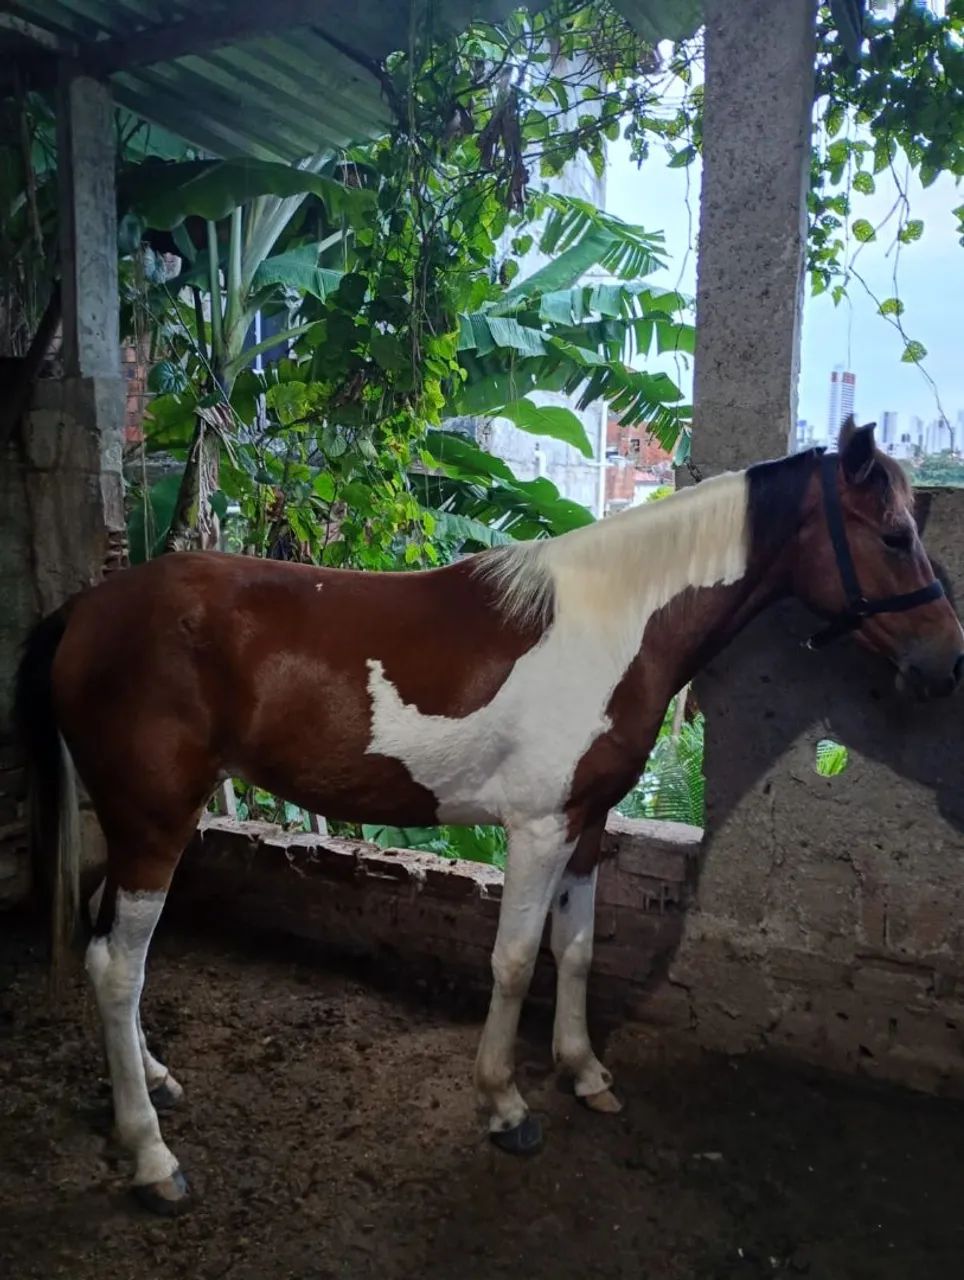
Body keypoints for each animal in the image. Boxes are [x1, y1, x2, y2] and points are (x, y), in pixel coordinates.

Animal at [13, 417, 964, 1216]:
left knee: (104, 944)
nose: (946, 662)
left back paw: (154, 1080)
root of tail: (84, 610)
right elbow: (512, 961)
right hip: (155, 825)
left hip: (135, 827)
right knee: (118, 968)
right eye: (893, 535)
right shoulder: (537, 828)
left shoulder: (586, 825)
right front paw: (505, 1106)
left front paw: (583, 1071)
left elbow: (575, 951)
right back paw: (152, 1157)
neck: (617, 624)